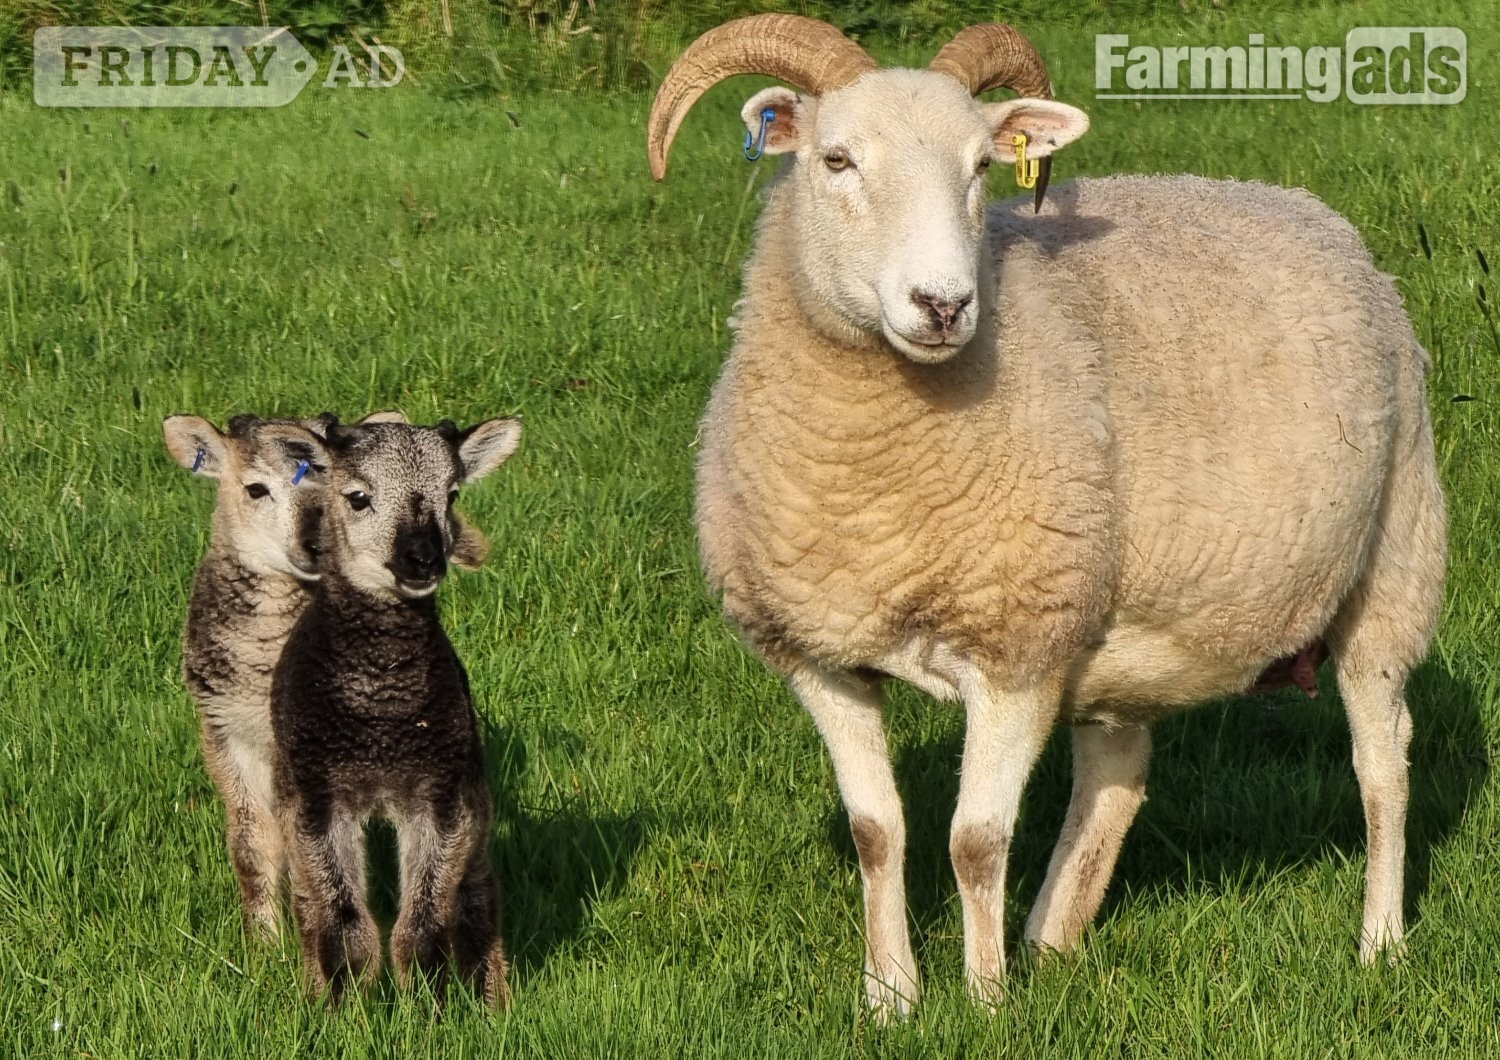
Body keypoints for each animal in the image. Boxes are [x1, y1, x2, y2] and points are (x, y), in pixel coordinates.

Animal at [270, 417, 520, 1007]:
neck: (382, 718)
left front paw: (429, 1003)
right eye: (357, 497)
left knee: (477, 891)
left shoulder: (440, 793)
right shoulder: (317, 794)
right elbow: (340, 918)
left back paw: (491, 996)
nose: (424, 558)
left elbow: (424, 920)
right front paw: (341, 1005)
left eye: (451, 495)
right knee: (308, 904)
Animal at [647, 15, 1447, 1016]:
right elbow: (876, 831)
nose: (943, 305)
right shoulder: (820, 657)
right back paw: (1053, 940)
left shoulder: (1016, 647)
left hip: (1394, 563)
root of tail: (1311, 211)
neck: (874, 487)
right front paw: (889, 998)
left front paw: (984, 1002)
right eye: (836, 160)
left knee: (1384, 765)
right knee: (1118, 770)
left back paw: (1380, 943)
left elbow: (974, 840)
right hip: (1114, 623)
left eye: (981, 168)